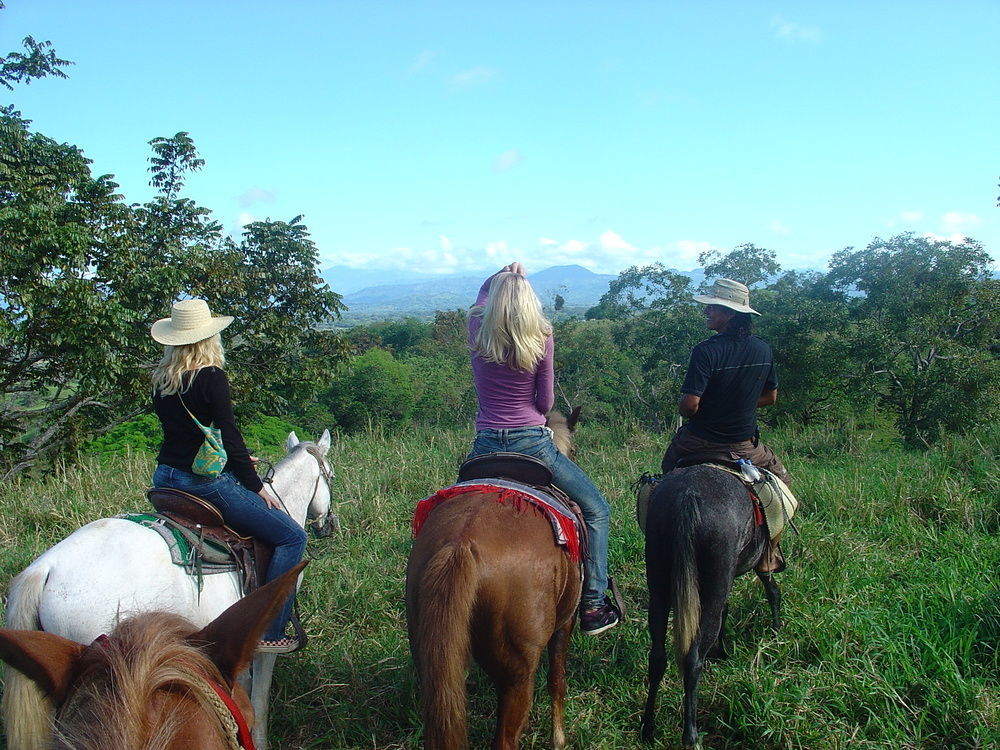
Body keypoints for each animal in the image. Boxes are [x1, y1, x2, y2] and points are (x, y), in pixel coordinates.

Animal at [402, 412, 584, 750]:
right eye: (575, 451)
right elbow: (557, 679)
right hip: (517, 673)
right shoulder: (566, 621)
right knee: (505, 739)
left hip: (428, 654)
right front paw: (559, 738)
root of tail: (460, 543)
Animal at [640, 468, 780, 748]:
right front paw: (775, 629)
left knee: (657, 657)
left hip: (659, 586)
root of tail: (688, 497)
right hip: (715, 583)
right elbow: (770, 589)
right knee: (693, 659)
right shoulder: (760, 558)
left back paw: (648, 727)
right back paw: (690, 735)